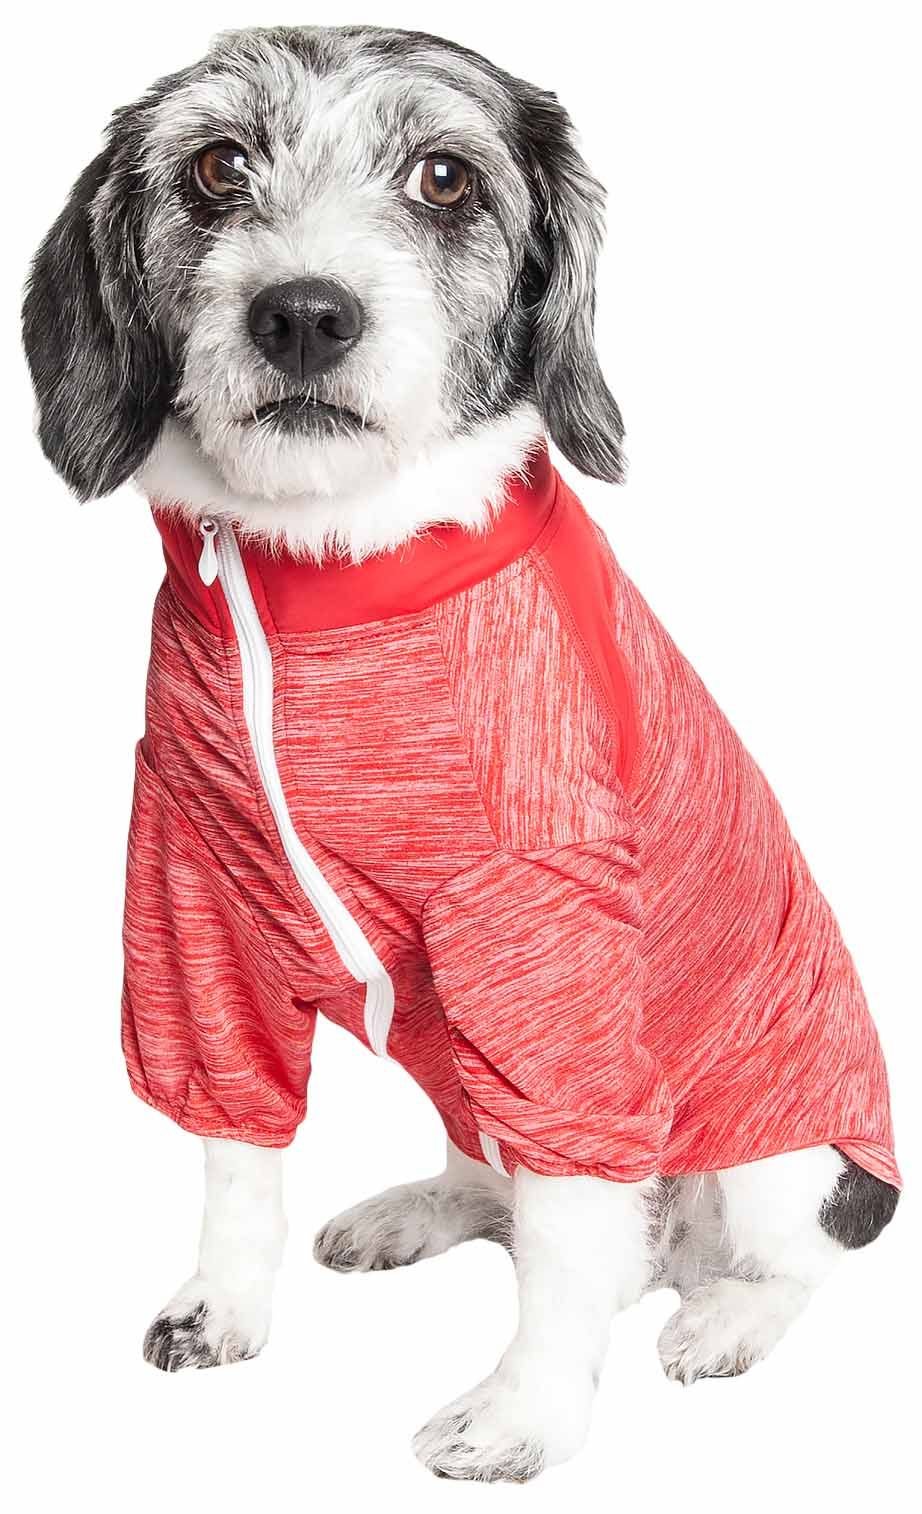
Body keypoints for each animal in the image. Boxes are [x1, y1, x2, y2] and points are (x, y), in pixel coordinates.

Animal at [23, 23, 899, 1483]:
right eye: (215, 166)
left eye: (443, 177)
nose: (302, 312)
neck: (322, 573)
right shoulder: (188, 901)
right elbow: (235, 1145)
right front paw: (224, 1304)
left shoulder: (541, 933)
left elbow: (565, 1224)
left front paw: (525, 1413)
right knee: (499, 1183)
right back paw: (411, 1210)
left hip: (775, 1148)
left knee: (779, 1256)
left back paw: (718, 1318)